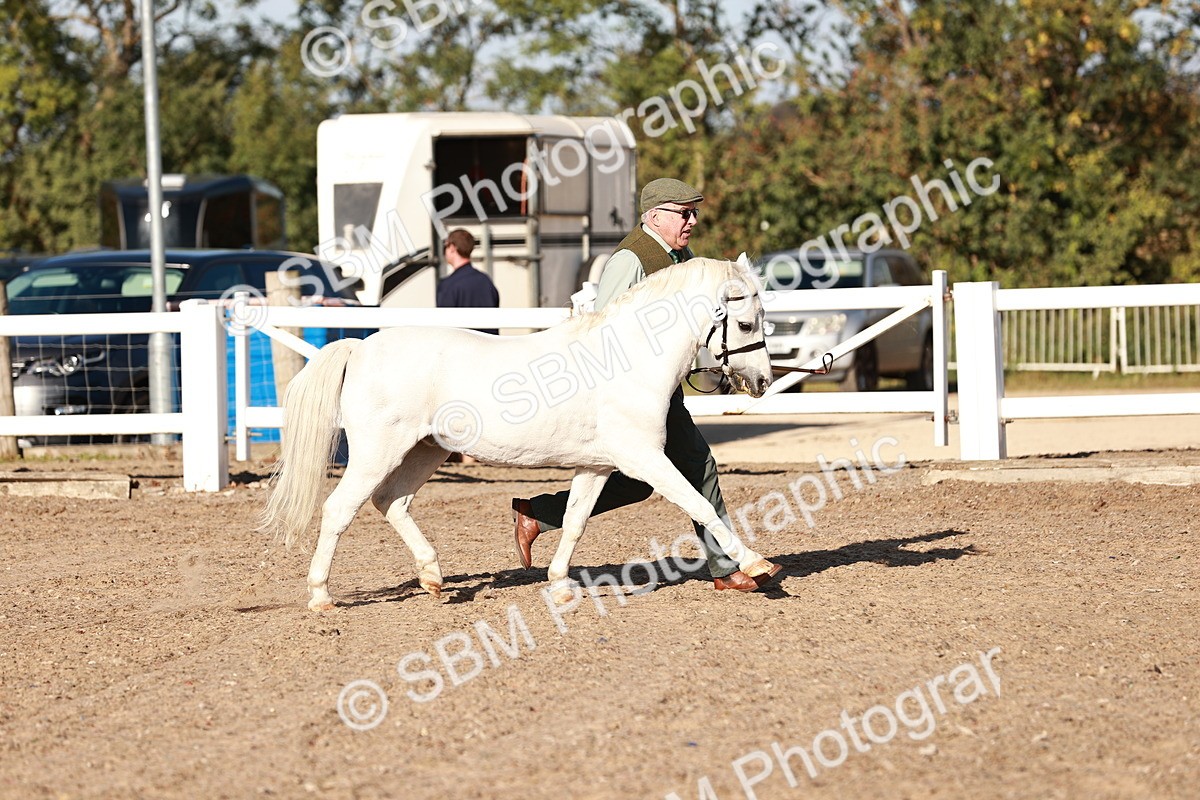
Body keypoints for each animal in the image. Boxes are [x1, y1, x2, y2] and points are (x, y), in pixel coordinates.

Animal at [260, 255, 777, 610]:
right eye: (745, 322)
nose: (762, 382)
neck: (625, 358)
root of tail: (360, 348)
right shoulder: (643, 458)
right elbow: (701, 505)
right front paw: (757, 564)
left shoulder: (597, 466)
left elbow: (574, 521)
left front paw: (561, 584)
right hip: (377, 452)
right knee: (339, 509)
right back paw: (321, 596)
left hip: (425, 451)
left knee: (392, 502)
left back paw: (433, 578)